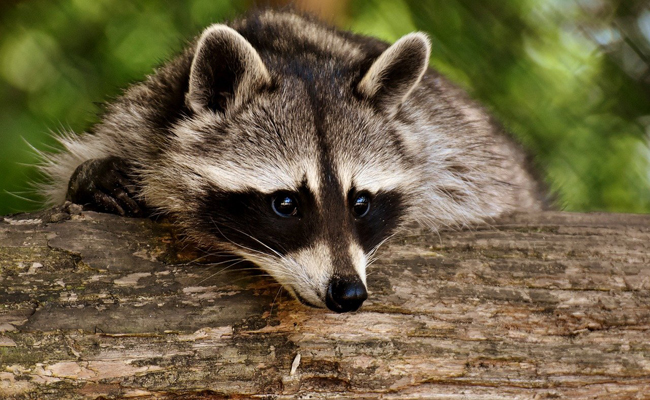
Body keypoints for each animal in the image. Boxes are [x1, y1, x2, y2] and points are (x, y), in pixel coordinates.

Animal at [36, 8, 540, 312]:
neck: (293, 52)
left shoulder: (452, 148)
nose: (348, 294)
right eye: (285, 204)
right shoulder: (138, 119)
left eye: (361, 203)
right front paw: (92, 179)